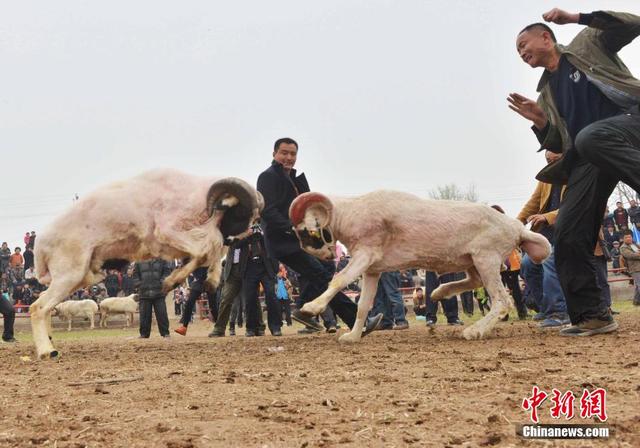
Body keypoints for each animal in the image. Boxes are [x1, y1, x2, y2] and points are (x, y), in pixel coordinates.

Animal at [290, 190, 552, 344]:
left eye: (305, 230)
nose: (324, 255)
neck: (350, 213)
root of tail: (517, 228)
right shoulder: (372, 268)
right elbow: (364, 304)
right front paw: (353, 336)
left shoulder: (365, 254)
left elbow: (339, 280)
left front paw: (310, 308)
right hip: (472, 260)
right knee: (475, 282)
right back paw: (439, 292)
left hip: (486, 258)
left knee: (501, 300)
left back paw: (474, 331)